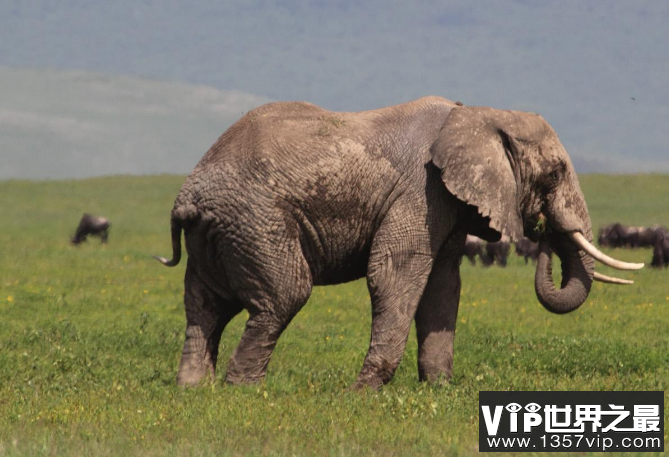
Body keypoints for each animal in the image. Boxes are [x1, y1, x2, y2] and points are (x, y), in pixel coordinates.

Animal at [155, 96, 640, 388]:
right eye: (554, 174)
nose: (539, 229)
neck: (479, 113)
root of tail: (188, 196)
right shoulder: (420, 193)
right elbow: (396, 274)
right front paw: (364, 393)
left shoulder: (446, 203)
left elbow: (443, 285)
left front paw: (439, 390)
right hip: (257, 222)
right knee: (283, 297)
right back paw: (242, 391)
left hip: (217, 234)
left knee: (205, 307)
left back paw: (195, 389)